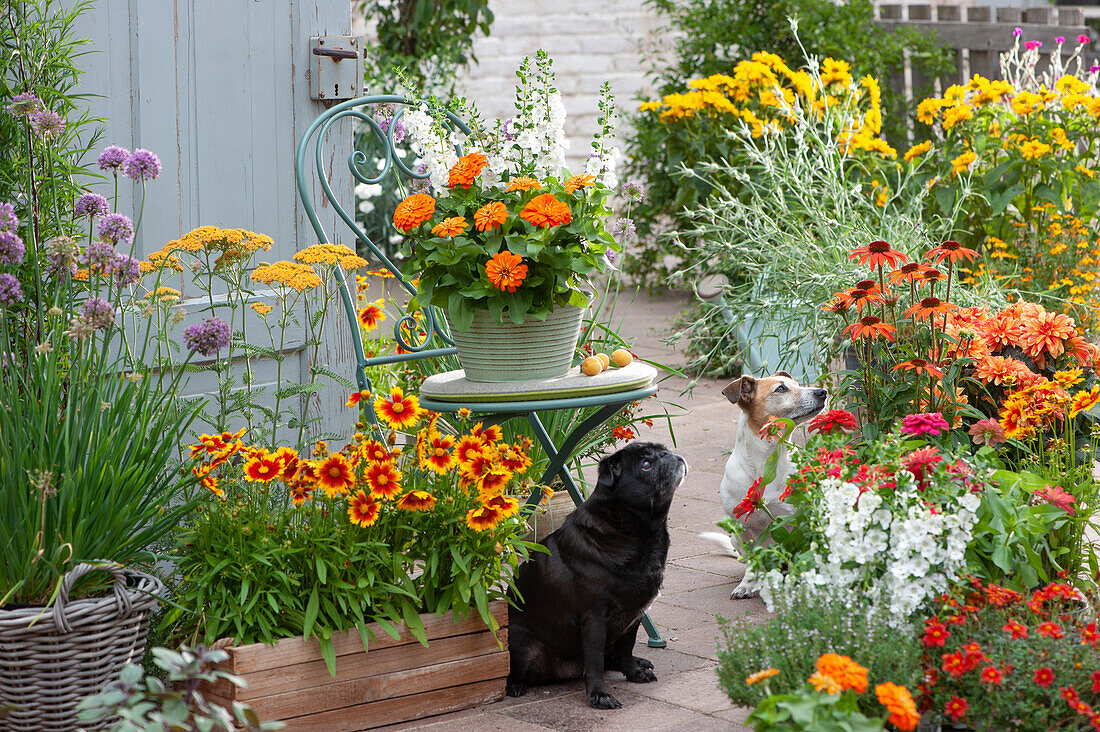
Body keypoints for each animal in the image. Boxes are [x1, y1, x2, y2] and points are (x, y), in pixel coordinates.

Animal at [508, 440, 686, 708]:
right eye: (646, 464)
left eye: (663, 450)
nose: (669, 455)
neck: (635, 532)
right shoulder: (594, 618)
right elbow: (594, 660)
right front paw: (599, 695)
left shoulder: (634, 614)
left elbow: (626, 649)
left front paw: (634, 672)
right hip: (521, 644)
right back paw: (515, 685)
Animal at [704, 367, 827, 598]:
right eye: (781, 389)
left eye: (798, 385)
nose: (822, 392)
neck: (767, 462)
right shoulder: (744, 529)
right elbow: (754, 561)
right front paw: (747, 583)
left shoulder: (796, 520)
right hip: (734, 538)